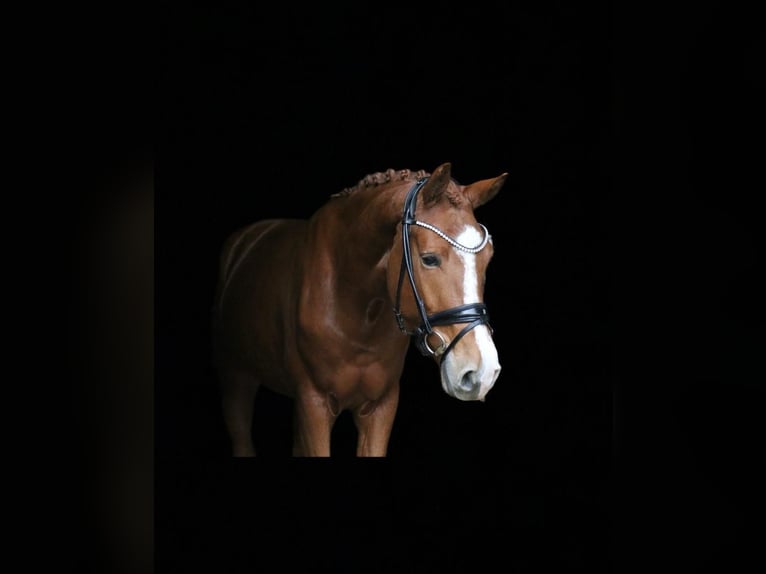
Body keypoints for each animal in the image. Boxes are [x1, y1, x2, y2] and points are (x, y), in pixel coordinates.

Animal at [212, 162, 507, 456]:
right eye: (429, 259)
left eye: (488, 258)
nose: (482, 373)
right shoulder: (313, 404)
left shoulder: (380, 406)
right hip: (236, 381)